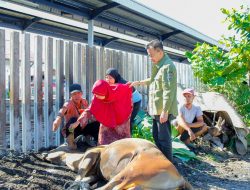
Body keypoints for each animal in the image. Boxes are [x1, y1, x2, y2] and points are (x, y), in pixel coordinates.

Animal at [44, 138, 191, 190]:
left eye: (59, 147)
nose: (44, 153)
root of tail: (181, 179)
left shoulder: (92, 154)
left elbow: (80, 174)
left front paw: (74, 184)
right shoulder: (96, 174)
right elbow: (86, 178)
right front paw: (82, 184)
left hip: (130, 173)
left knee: (110, 187)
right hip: (139, 185)